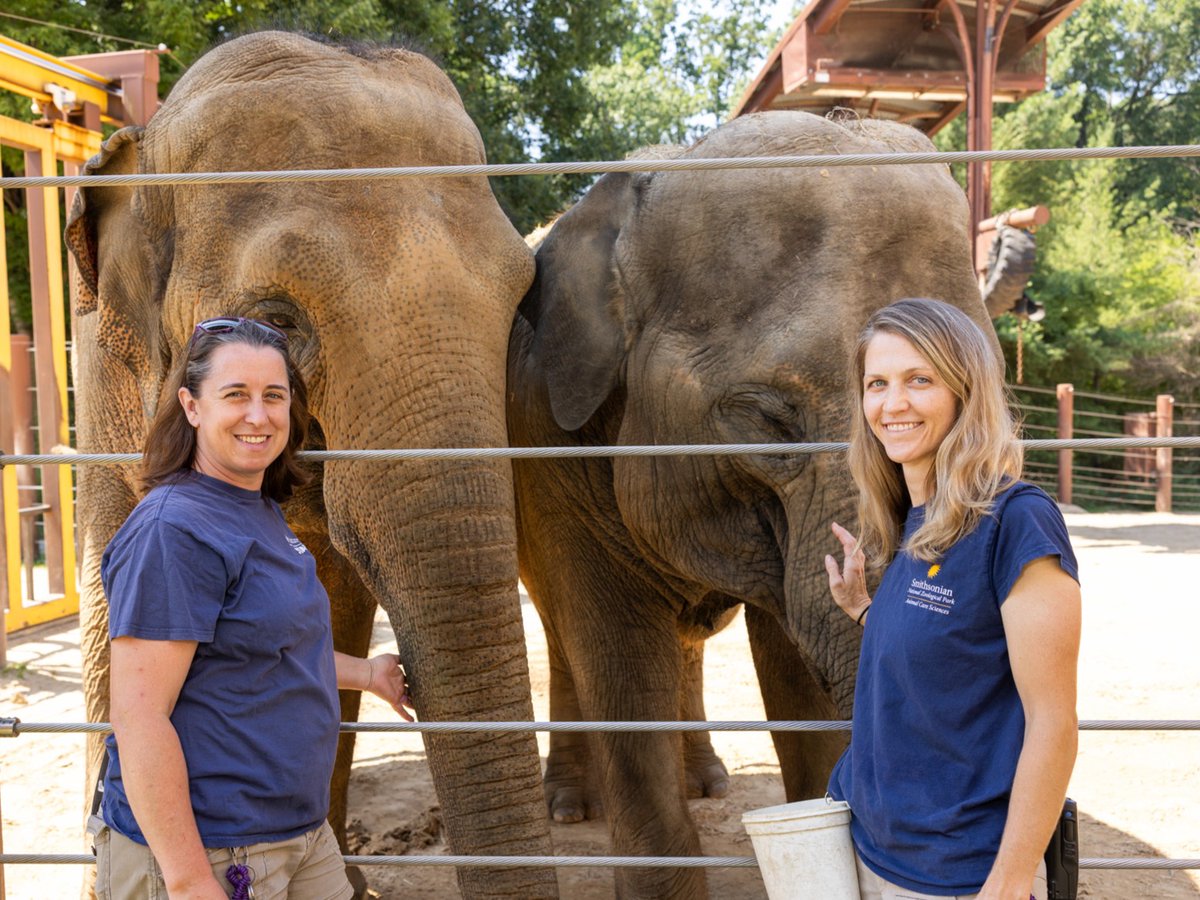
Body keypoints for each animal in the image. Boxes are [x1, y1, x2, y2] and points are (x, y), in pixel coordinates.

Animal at [506, 109, 1003, 897]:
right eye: (767, 418)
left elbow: (792, 654)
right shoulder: (550, 441)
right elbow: (616, 651)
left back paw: (706, 782)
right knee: (565, 631)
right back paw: (571, 805)